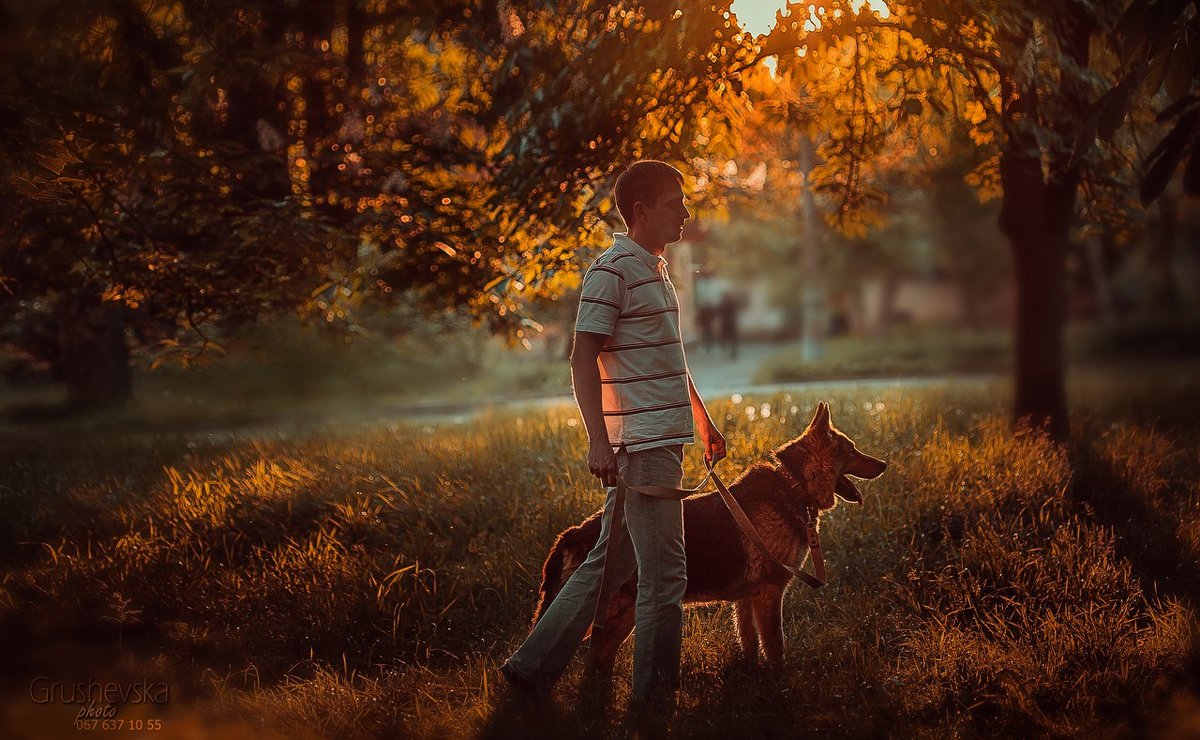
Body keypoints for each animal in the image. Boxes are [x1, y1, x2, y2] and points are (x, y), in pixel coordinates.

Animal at [532, 400, 883, 666]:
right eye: (852, 450)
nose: (884, 465)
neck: (793, 484)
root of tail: (573, 533)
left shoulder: (746, 600)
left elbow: (750, 645)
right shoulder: (769, 594)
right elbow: (775, 647)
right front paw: (780, 684)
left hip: (621, 617)